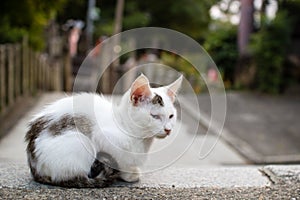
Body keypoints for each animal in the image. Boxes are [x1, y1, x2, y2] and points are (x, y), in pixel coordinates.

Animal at [24, 74, 182, 188]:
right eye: (154, 116)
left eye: (171, 116)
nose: (168, 129)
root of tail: (35, 169)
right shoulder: (103, 137)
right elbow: (120, 160)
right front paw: (129, 174)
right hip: (81, 142)